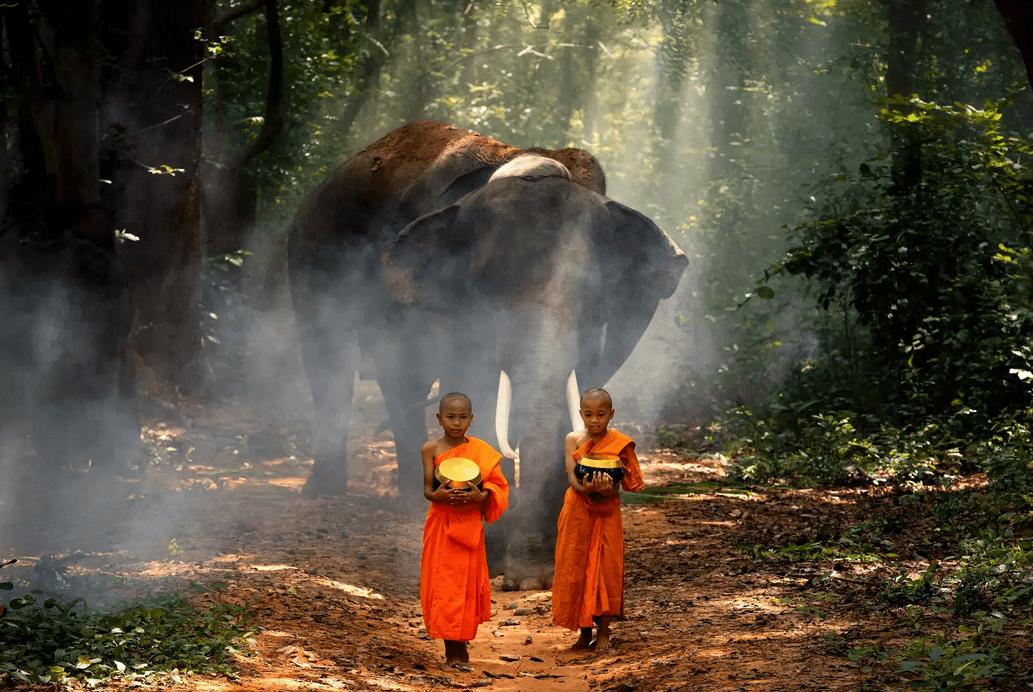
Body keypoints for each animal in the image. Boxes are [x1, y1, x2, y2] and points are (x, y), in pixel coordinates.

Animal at [287, 120, 685, 590]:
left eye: (593, 289)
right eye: (484, 285)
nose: (527, 581)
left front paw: (537, 572)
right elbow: (473, 380)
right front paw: (497, 560)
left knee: (402, 380)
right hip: (311, 259)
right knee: (332, 362)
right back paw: (330, 491)